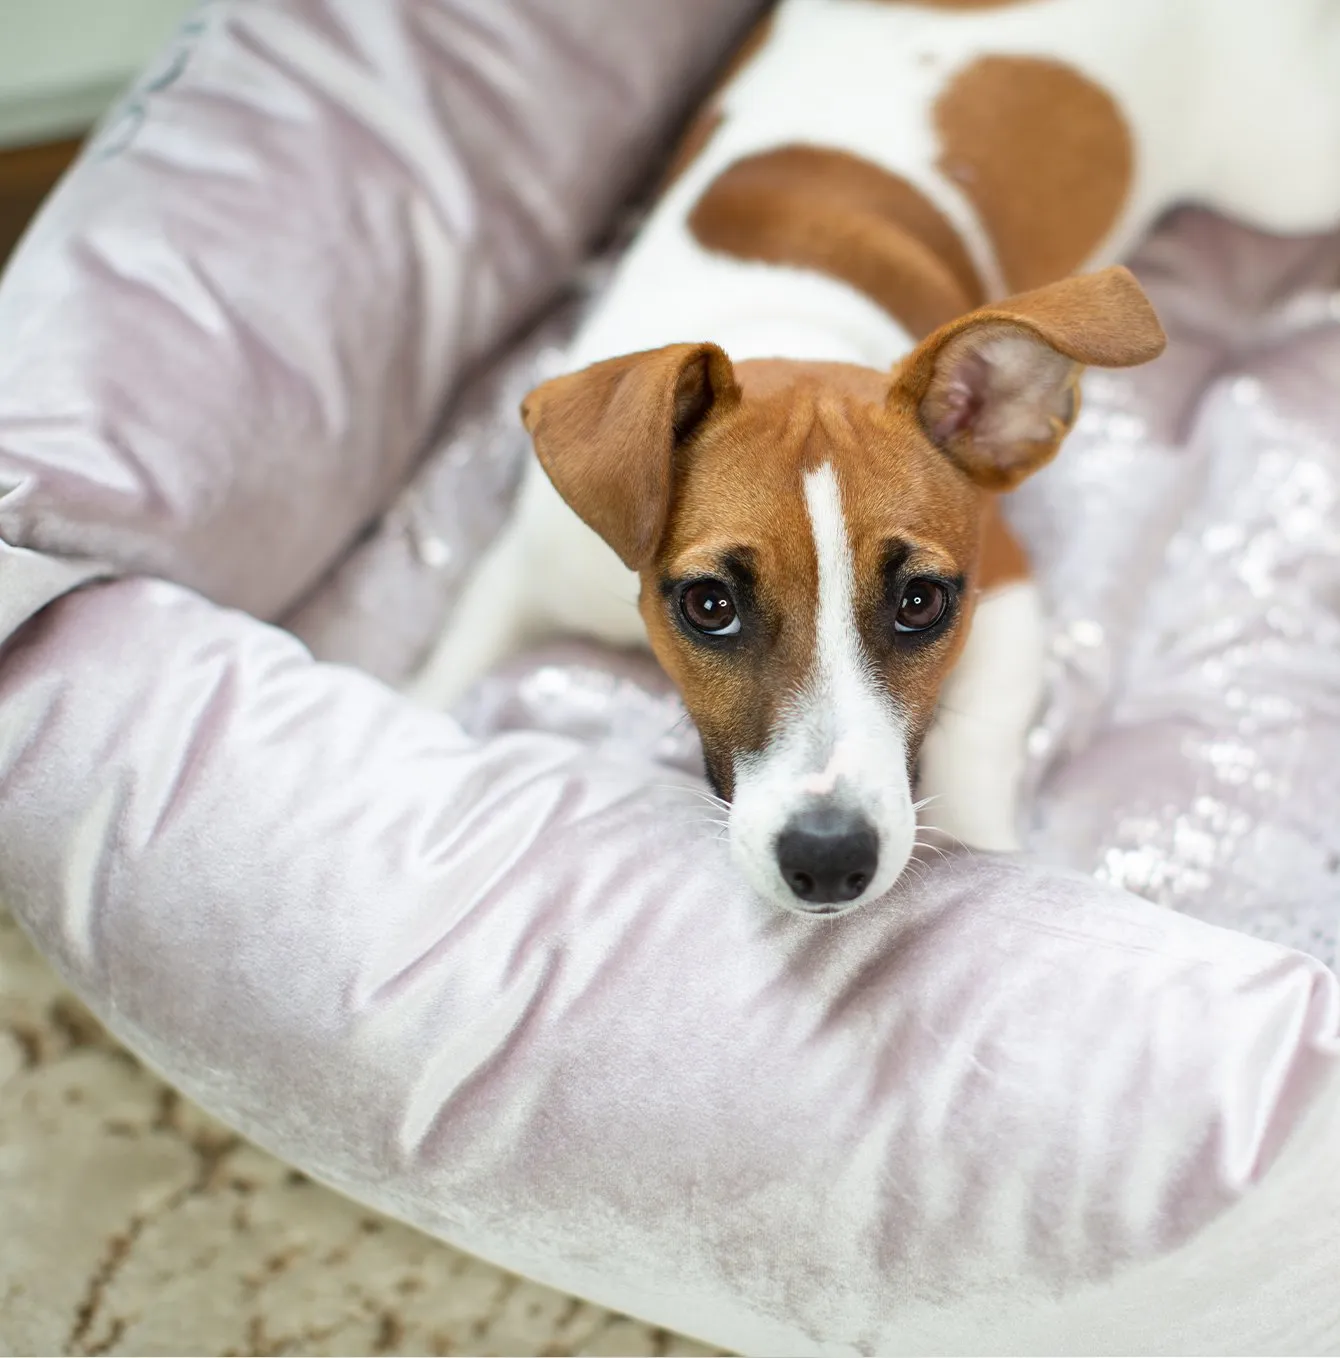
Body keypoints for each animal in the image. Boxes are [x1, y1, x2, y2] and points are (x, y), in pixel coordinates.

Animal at [410, 0, 1340, 918]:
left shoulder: (1004, 587)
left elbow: (973, 754)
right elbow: (439, 681)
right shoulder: (525, 573)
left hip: (1287, 169)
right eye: (710, 605)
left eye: (921, 602)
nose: (829, 860)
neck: (793, 324)